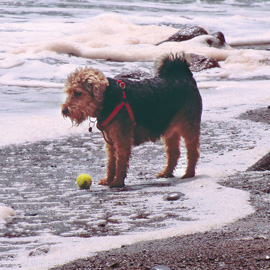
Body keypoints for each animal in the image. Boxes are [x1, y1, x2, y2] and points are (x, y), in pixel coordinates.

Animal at [61, 52, 202, 188]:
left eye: (78, 93)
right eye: (69, 92)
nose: (64, 110)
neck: (107, 98)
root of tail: (184, 75)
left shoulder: (122, 139)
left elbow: (120, 161)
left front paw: (117, 182)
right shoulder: (110, 141)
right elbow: (111, 162)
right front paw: (108, 180)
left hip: (189, 126)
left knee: (193, 151)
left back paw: (188, 173)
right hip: (169, 130)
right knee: (174, 152)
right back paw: (166, 173)